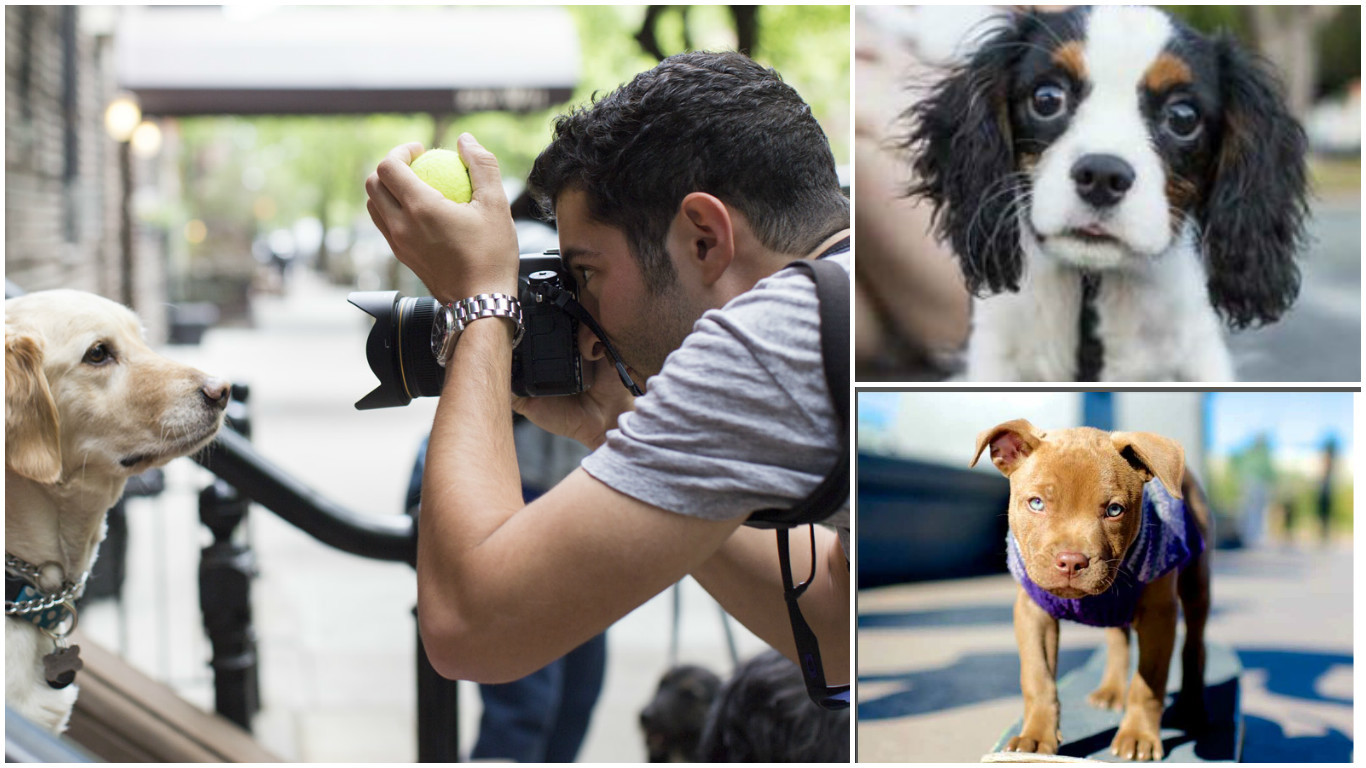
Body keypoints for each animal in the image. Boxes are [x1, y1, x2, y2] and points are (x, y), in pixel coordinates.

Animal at [972, 418, 1207, 759]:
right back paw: (1111, 691)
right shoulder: (1033, 613)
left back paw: (1191, 705)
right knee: (1118, 639)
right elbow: (1038, 678)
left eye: (1114, 510)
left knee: (1194, 643)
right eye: (1036, 503)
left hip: (1197, 584)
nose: (1071, 561)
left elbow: (1148, 683)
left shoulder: (1159, 616)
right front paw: (1035, 737)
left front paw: (1138, 735)